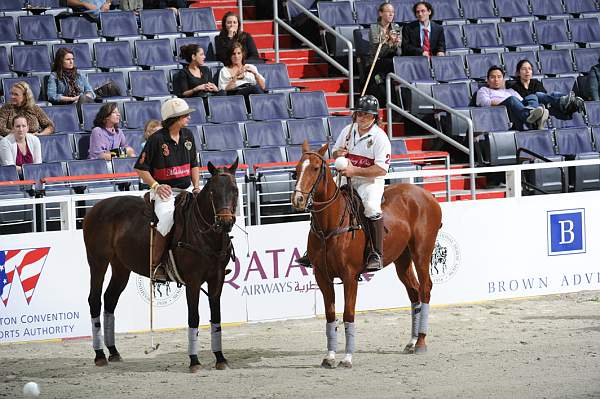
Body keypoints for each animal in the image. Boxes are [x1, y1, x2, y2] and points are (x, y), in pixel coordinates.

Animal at [81, 159, 239, 372]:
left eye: (235, 189)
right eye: (213, 191)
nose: (225, 223)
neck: (206, 236)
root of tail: (94, 208)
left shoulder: (217, 279)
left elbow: (216, 318)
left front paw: (220, 358)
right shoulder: (193, 281)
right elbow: (194, 317)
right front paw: (194, 361)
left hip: (121, 266)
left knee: (110, 298)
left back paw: (113, 351)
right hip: (98, 261)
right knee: (94, 299)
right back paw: (99, 355)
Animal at [292, 143, 442, 368]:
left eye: (316, 168)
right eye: (296, 169)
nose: (298, 200)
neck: (330, 224)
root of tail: (429, 195)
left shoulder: (350, 276)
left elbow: (348, 314)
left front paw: (347, 358)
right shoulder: (322, 277)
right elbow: (330, 316)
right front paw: (330, 356)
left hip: (421, 253)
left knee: (425, 289)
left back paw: (421, 342)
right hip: (402, 259)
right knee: (414, 292)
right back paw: (412, 341)